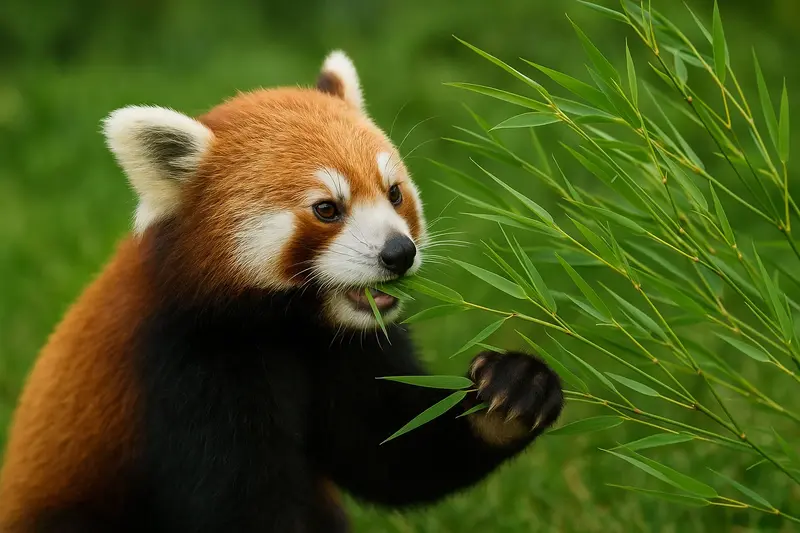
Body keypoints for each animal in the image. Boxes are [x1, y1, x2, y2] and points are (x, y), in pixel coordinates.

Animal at [0, 51, 564, 532]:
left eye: (394, 193)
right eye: (327, 209)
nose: (399, 253)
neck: (290, 329)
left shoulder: (346, 352)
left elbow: (389, 449)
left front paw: (511, 390)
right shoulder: (186, 366)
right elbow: (242, 505)